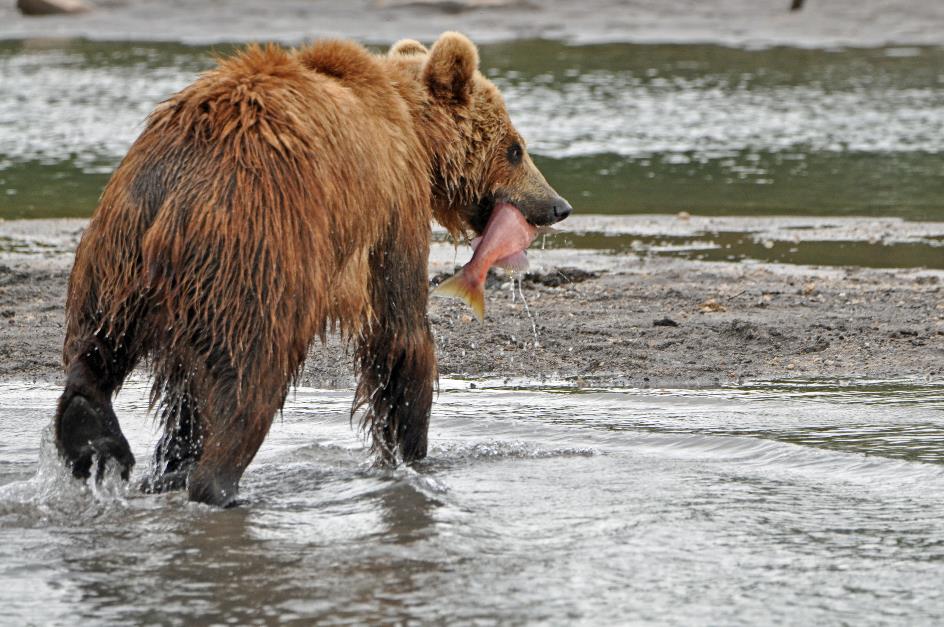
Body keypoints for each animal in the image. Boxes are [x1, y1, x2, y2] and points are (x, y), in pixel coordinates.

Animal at [55, 31, 572, 508]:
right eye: (515, 148)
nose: (558, 205)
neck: (415, 132)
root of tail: (179, 188)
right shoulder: (392, 206)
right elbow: (400, 328)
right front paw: (411, 453)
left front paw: (172, 461)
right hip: (256, 253)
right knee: (250, 378)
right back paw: (219, 484)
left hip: (115, 253)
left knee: (96, 352)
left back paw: (101, 445)